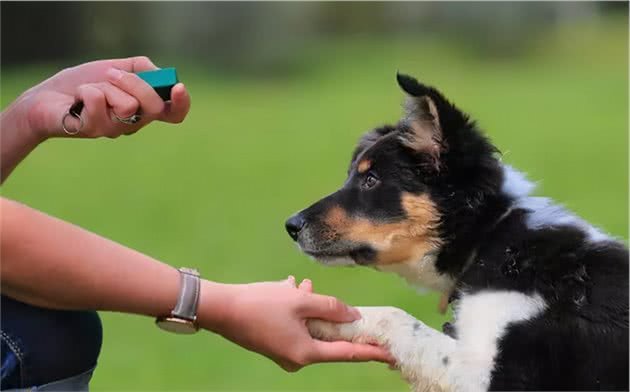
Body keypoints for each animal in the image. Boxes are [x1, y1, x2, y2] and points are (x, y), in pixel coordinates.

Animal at [288, 74, 630, 392]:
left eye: (371, 180)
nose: (291, 225)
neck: (492, 238)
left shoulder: (499, 376)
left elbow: (395, 317)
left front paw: (320, 316)